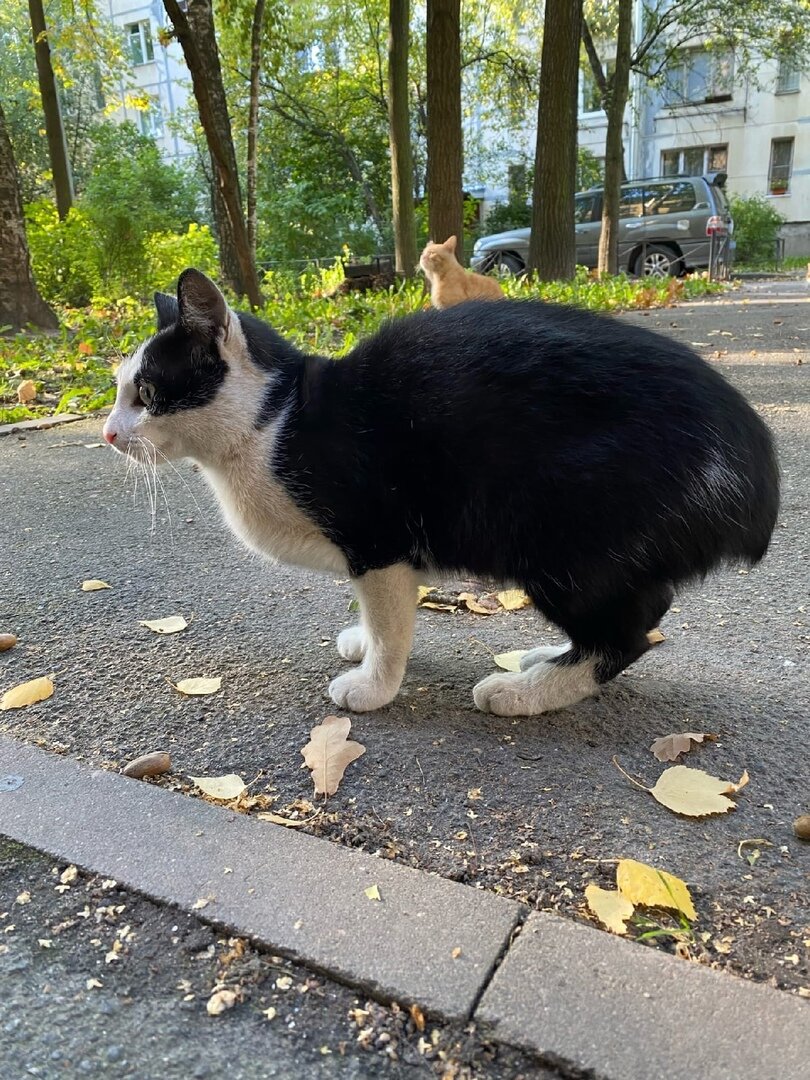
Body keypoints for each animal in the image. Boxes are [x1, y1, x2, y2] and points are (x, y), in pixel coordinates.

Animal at [103, 270, 781, 717]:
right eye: (116, 391)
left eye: (148, 393)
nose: (109, 434)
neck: (272, 423)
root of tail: (753, 459)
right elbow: (380, 615)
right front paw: (362, 644)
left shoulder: (378, 541)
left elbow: (391, 619)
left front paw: (373, 685)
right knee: (639, 613)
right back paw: (545, 658)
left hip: (554, 529)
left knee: (628, 633)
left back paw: (524, 692)